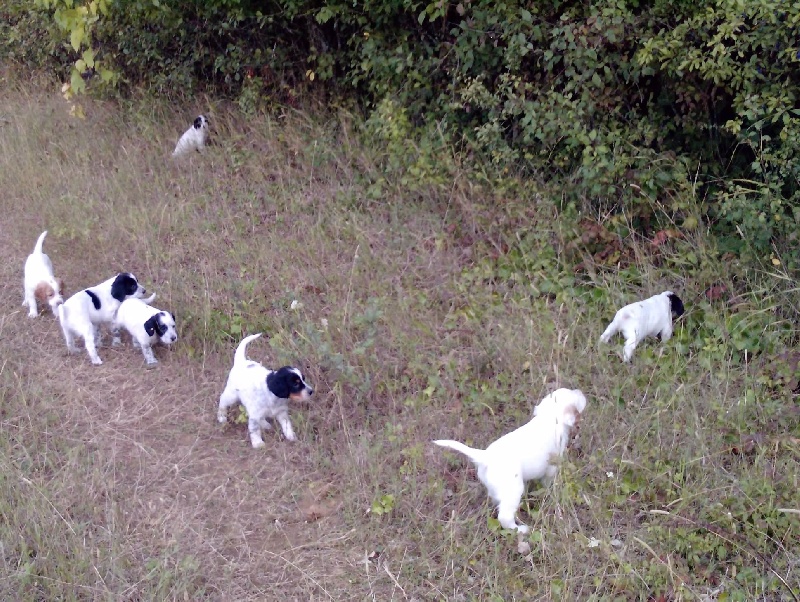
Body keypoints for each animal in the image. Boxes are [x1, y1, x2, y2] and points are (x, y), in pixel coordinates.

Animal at [434, 386, 592, 532]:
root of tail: (485, 457)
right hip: (513, 490)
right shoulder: (552, 465)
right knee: (505, 517)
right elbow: (548, 481)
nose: (580, 391)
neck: (548, 418)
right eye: (576, 398)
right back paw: (520, 529)